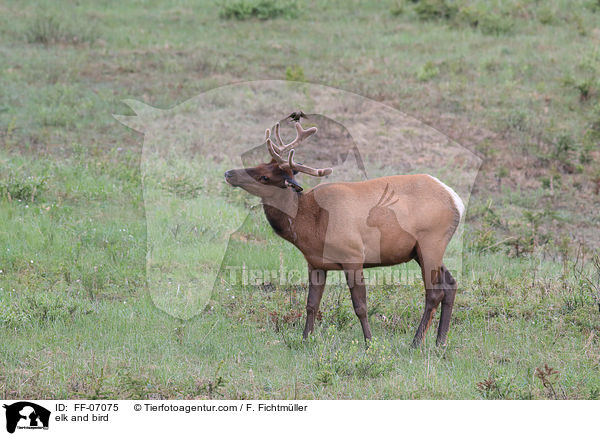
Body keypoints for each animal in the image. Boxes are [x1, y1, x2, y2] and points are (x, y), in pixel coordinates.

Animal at [225, 117, 464, 346]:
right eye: (258, 165)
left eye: (265, 177)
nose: (229, 173)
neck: (310, 225)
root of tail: (456, 200)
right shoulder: (315, 263)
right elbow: (311, 304)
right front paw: (305, 340)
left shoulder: (353, 255)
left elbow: (360, 306)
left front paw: (369, 343)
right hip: (419, 251)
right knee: (450, 284)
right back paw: (440, 342)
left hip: (431, 241)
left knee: (434, 292)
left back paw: (416, 343)